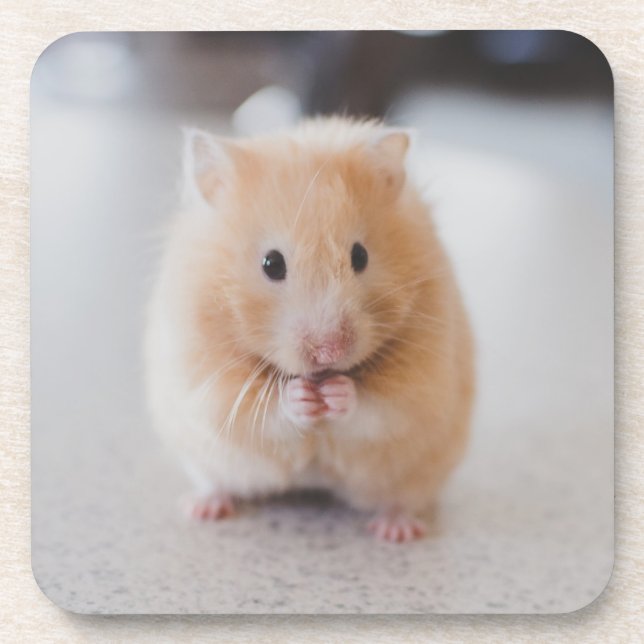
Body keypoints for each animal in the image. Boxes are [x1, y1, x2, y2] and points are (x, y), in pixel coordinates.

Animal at [144, 116, 474, 543]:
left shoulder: (422, 382)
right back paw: (202, 508)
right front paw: (302, 397)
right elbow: (262, 410)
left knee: (401, 499)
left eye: (360, 256)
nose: (329, 352)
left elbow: (379, 408)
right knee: (216, 482)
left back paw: (396, 531)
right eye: (271, 264)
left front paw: (336, 393)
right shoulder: (207, 381)